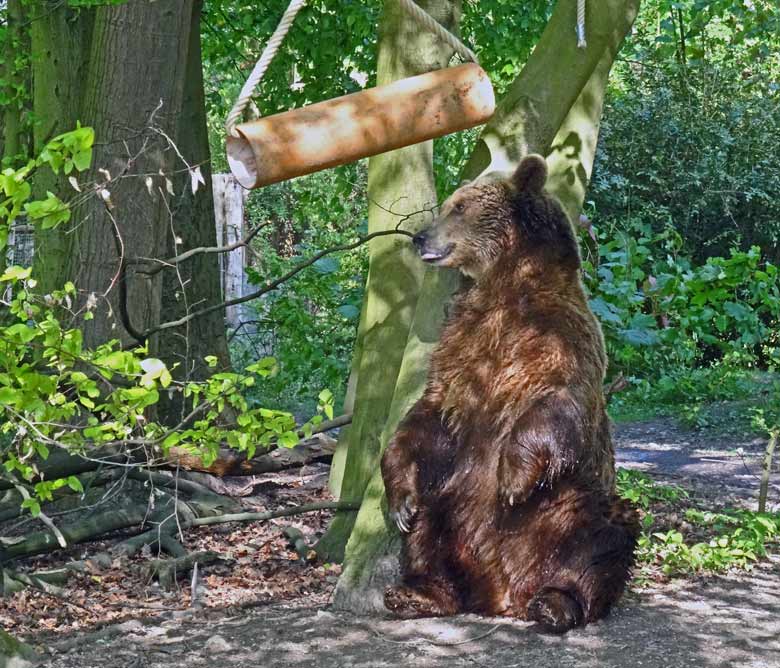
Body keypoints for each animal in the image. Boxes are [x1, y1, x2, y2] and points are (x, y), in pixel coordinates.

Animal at [380, 155, 640, 632]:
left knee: (601, 541)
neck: (505, 289)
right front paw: (401, 501)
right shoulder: (461, 346)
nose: (420, 237)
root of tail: (503, 595)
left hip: (568, 509)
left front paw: (513, 482)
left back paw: (556, 604)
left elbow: (554, 404)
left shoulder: (559, 339)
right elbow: (428, 416)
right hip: (450, 506)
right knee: (429, 531)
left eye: (460, 207)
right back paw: (416, 592)